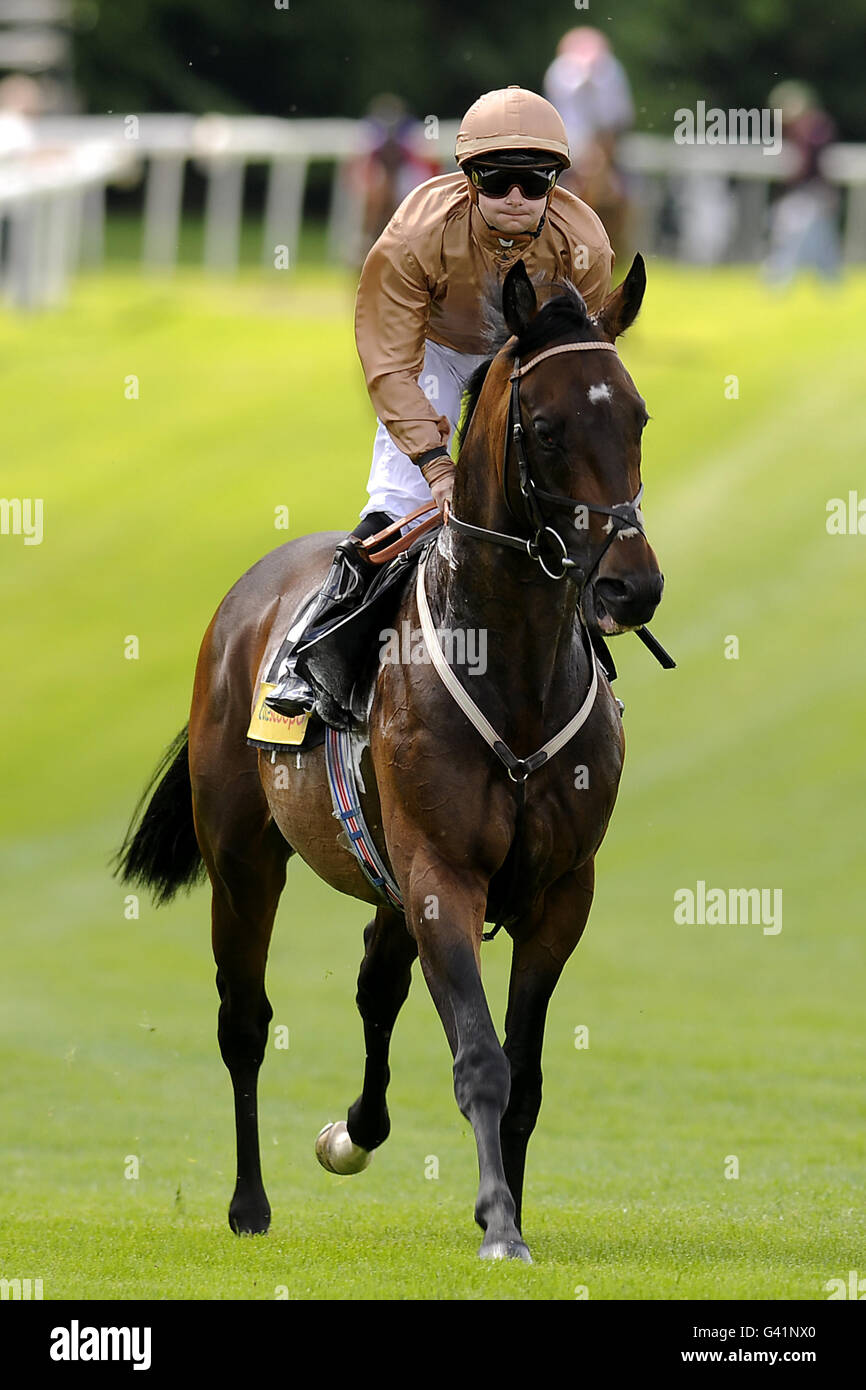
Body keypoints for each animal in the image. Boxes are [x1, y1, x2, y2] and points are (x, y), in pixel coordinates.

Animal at [116, 255, 664, 1267]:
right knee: (243, 1020)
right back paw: (249, 1204)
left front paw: (507, 1210)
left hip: (387, 873)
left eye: (638, 417)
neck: (514, 672)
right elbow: (481, 1058)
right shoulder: (442, 872)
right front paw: (499, 1226)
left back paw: (354, 1132)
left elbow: (524, 1071)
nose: (631, 586)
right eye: (547, 427)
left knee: (377, 984)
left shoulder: (559, 891)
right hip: (245, 858)